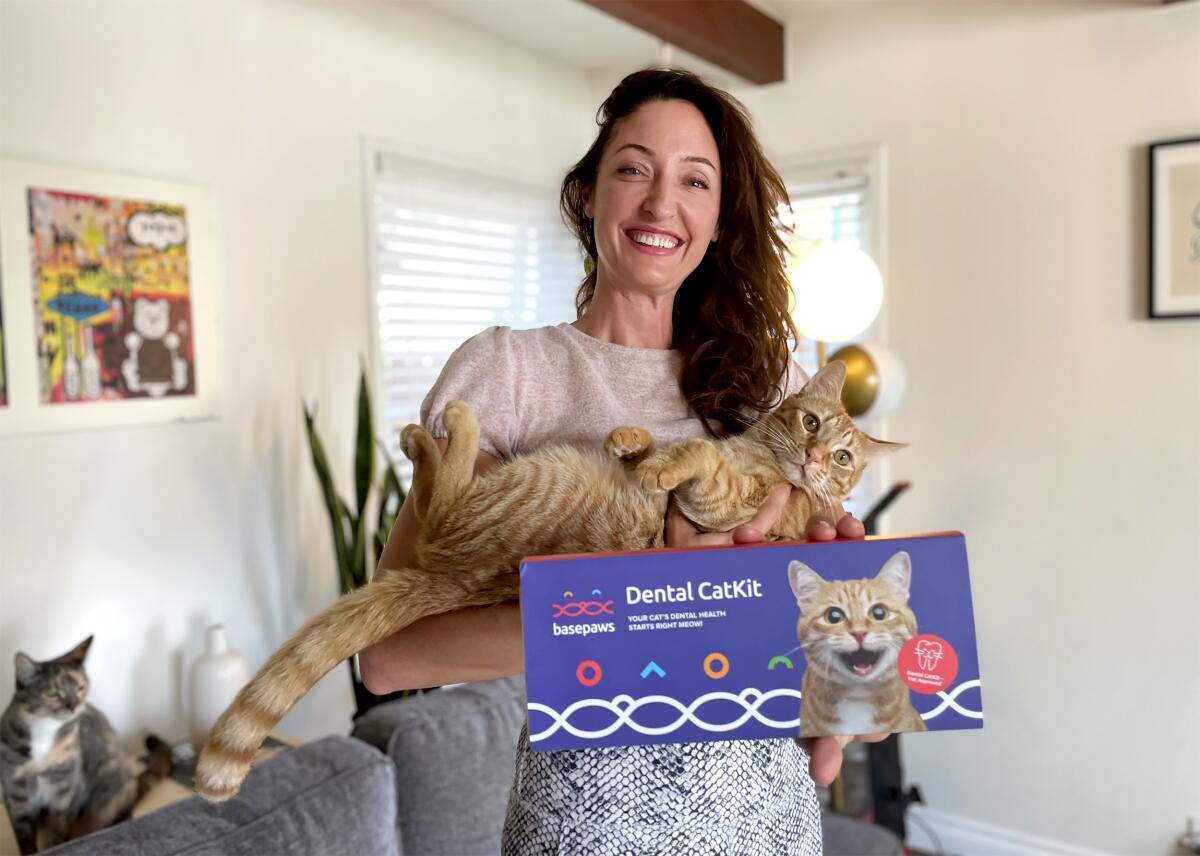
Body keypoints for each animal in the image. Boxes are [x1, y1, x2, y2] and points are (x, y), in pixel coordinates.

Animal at [0, 633, 171, 854]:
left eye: (80, 687)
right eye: (54, 693)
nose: (74, 705)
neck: (44, 733)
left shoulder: (65, 791)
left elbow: (56, 832)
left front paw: (55, 846)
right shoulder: (16, 793)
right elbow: (25, 837)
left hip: (110, 792)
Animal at [196, 357, 902, 797]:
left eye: (842, 458)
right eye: (811, 422)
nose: (815, 455)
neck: (769, 461)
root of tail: (452, 578)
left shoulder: (721, 501)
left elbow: (694, 454)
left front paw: (657, 463)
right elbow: (671, 444)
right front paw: (631, 440)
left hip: (520, 488)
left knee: (438, 498)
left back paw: (441, 431)